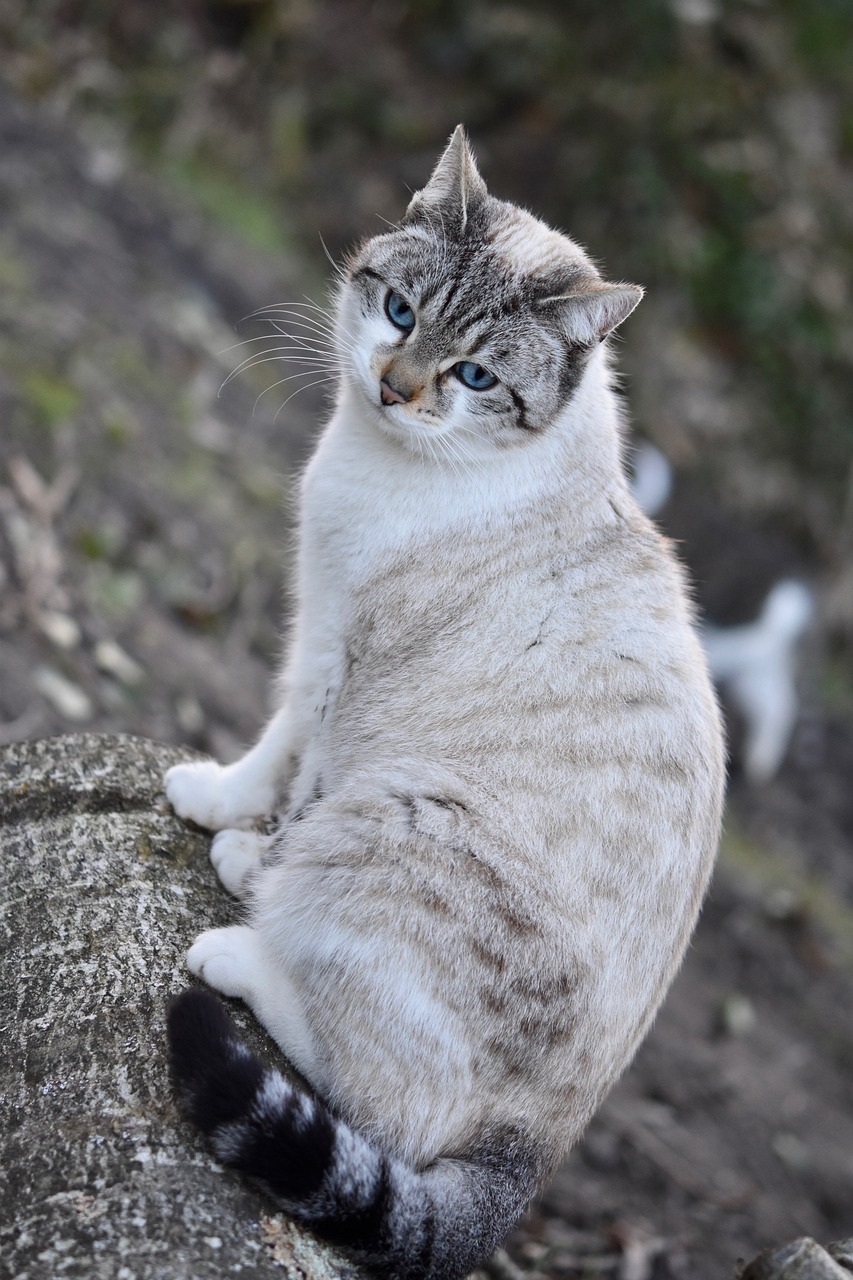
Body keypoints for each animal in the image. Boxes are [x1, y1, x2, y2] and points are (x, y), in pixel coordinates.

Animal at [162, 122, 722, 1280]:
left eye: (473, 376)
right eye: (399, 312)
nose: (394, 387)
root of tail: (533, 1164)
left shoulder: (342, 656)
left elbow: (291, 767)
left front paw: (243, 845)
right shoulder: (317, 625)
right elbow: (274, 744)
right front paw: (221, 809)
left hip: (404, 806)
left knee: (379, 1102)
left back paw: (247, 939)